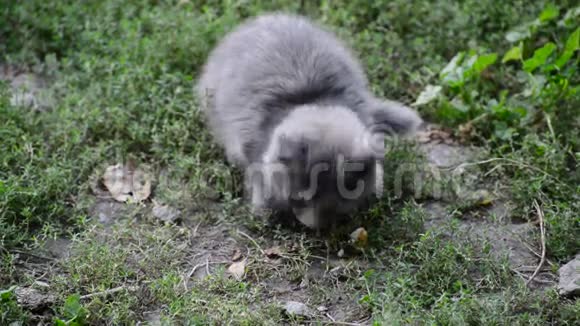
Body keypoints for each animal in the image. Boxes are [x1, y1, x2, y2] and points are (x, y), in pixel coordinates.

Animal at [195, 12, 422, 229]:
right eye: (299, 198)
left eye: (342, 201)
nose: (320, 226)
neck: (310, 99)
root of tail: (265, 17)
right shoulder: (252, 150)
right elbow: (260, 182)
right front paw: (263, 213)